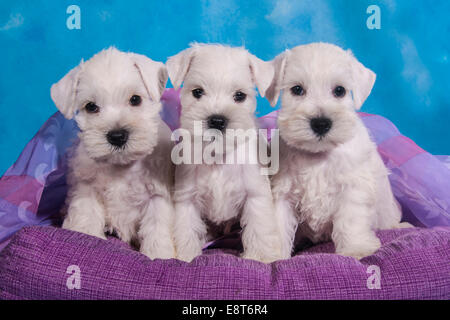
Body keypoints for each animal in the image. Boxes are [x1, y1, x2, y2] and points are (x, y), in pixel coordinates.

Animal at [50, 47, 174, 260]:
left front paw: (160, 255)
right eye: (91, 106)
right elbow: (86, 217)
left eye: (135, 99)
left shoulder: (157, 196)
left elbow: (158, 229)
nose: (117, 136)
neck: (121, 166)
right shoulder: (86, 188)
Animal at [167, 43, 284, 262]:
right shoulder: (187, 198)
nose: (217, 120)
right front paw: (187, 256)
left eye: (239, 95)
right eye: (197, 92)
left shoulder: (255, 195)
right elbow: (186, 230)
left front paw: (259, 257)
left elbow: (258, 228)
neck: (218, 154)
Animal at [266, 42, 410, 258]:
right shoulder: (283, 194)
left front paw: (356, 249)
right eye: (297, 89)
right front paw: (270, 256)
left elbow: (350, 221)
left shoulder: (353, 189)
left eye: (340, 90)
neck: (318, 155)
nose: (321, 123)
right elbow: (276, 225)